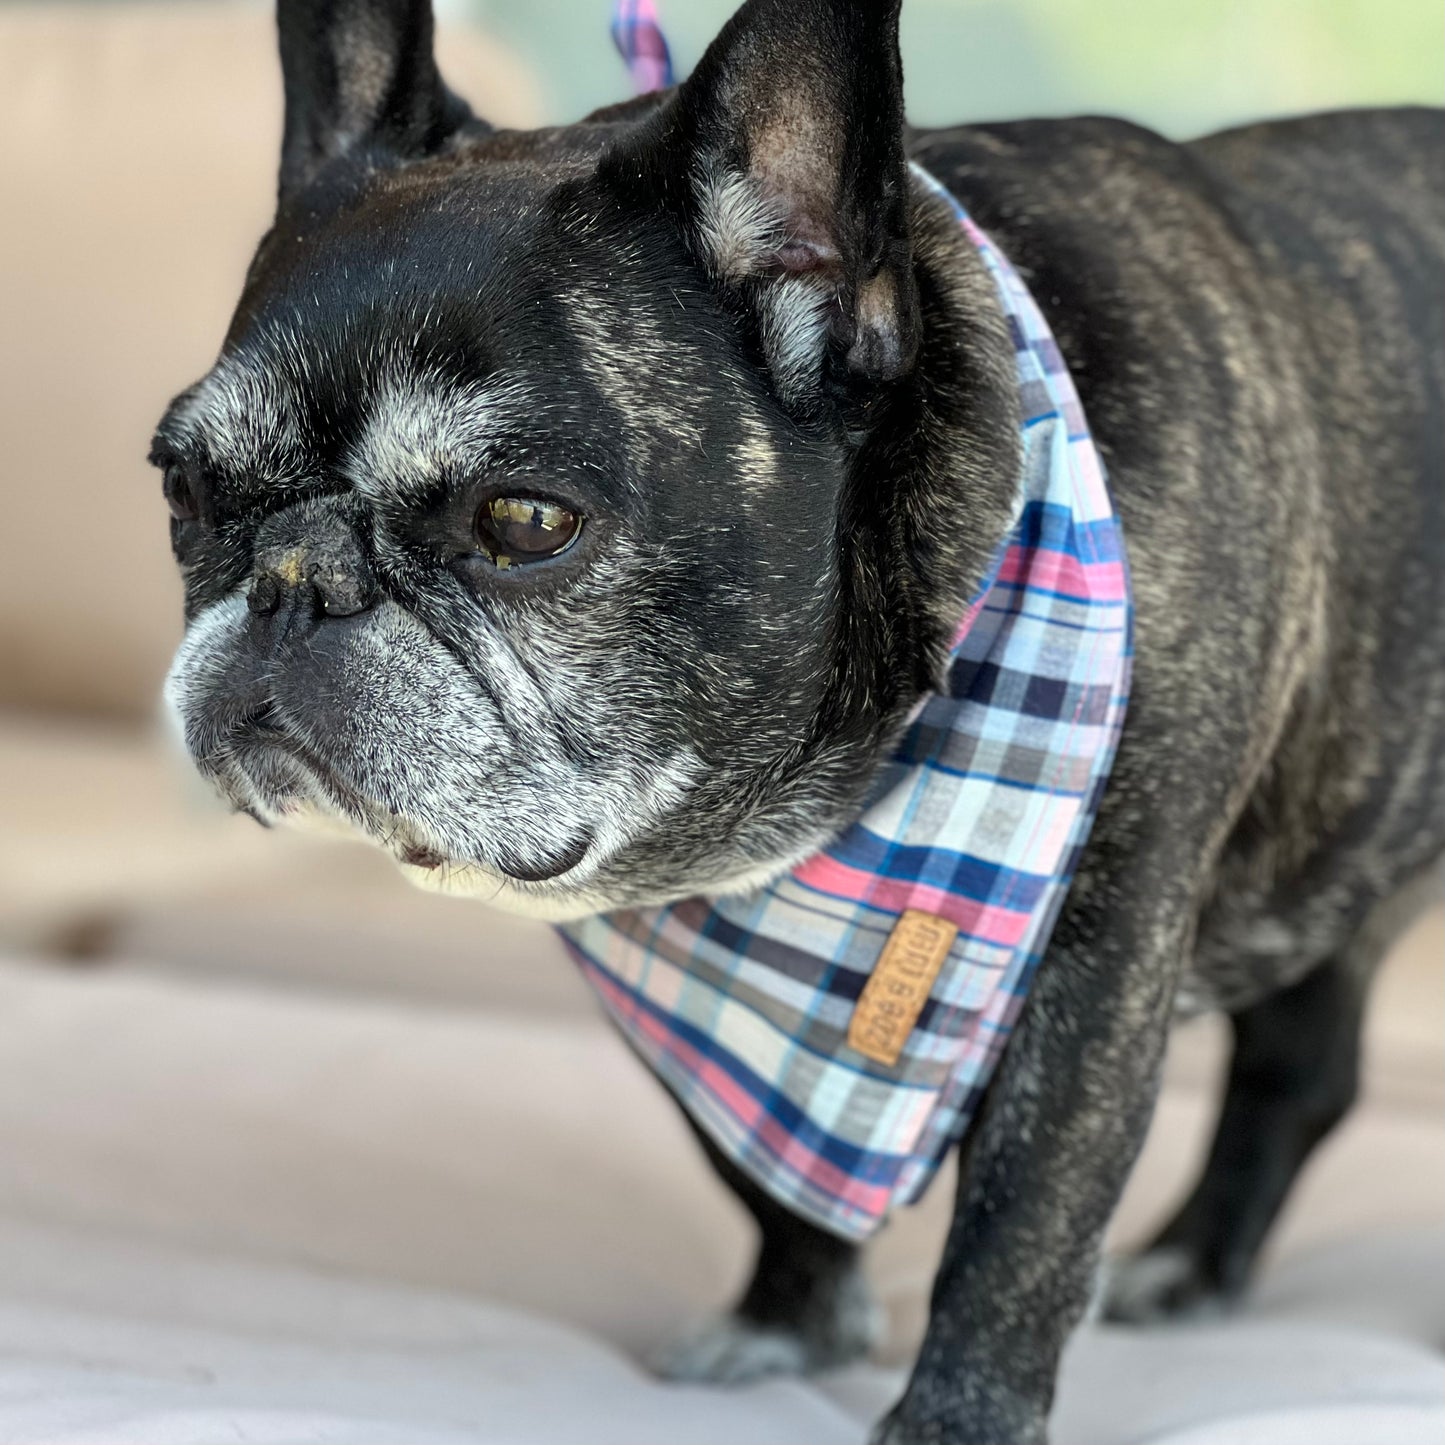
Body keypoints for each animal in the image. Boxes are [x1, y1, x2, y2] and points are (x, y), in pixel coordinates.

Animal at [155, 0, 1445, 1439]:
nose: (292, 579)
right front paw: (785, 1319)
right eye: (185, 488)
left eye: (524, 520)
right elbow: (759, 1157)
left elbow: (1024, 1222)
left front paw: (955, 1420)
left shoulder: (1095, 974)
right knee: (1302, 1063)